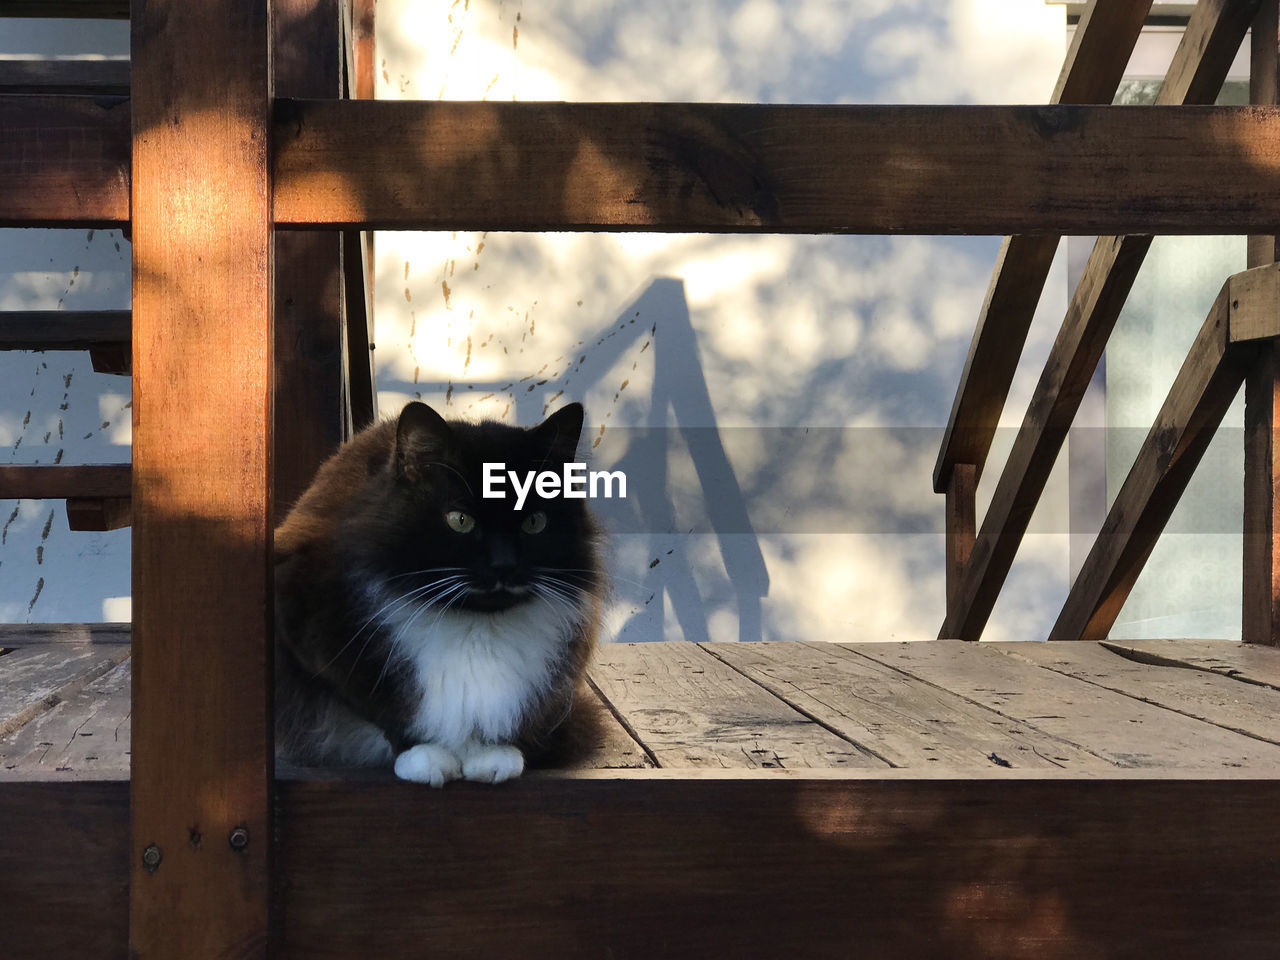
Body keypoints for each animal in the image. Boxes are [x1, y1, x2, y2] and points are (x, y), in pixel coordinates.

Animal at [272, 401, 601, 783]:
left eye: (534, 522)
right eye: (459, 520)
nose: (504, 565)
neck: (476, 627)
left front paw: (492, 756)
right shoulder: (305, 626)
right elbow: (385, 710)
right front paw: (425, 759)